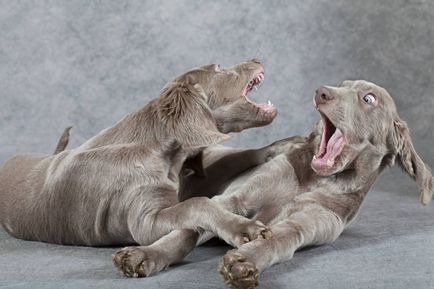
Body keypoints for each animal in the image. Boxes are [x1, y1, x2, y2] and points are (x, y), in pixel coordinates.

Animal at [0, 59, 278, 276]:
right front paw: (244, 228)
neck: (161, 149)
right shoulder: (144, 223)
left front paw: (277, 147)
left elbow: (230, 161)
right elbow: (197, 203)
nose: (257, 57)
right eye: (219, 67)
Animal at [140, 79, 430, 288]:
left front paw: (245, 260)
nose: (321, 92)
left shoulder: (311, 223)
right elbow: (190, 228)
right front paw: (148, 255)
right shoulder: (234, 198)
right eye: (343, 84)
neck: (315, 180)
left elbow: (280, 238)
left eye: (368, 98)